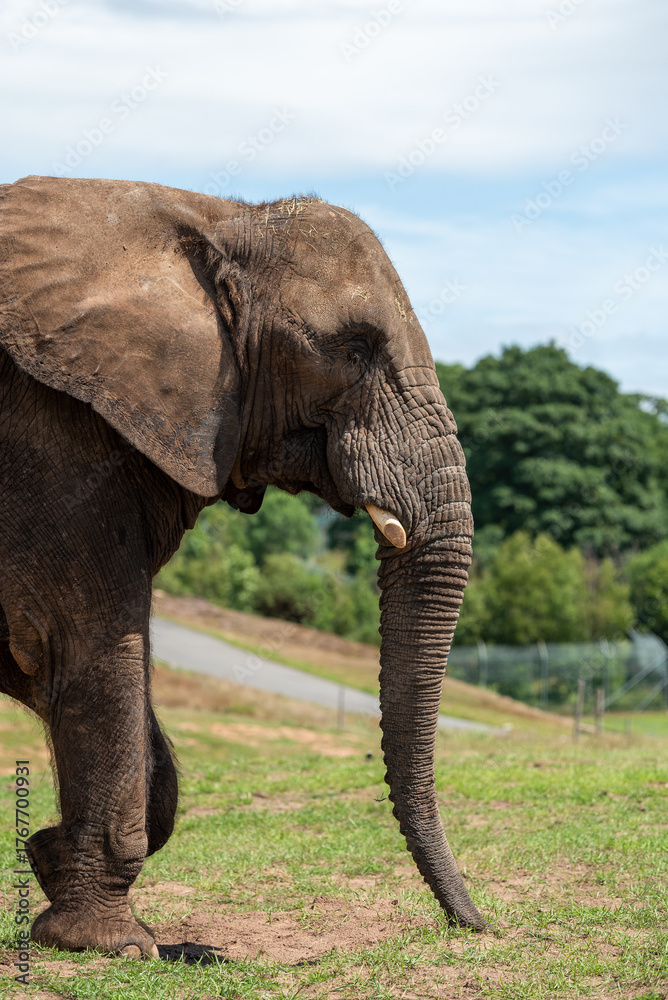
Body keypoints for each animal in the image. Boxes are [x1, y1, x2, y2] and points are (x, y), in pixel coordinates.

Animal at [0, 174, 484, 957]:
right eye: (354, 348)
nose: (476, 923)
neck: (221, 220)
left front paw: (46, 857)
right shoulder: (51, 444)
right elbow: (81, 644)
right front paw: (109, 943)